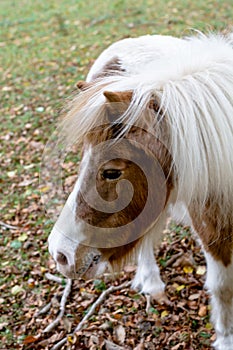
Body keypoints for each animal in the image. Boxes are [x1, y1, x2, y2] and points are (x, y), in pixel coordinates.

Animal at [47, 32, 233, 350]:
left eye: (111, 172)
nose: (60, 254)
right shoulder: (212, 230)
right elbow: (223, 288)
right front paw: (226, 339)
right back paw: (152, 284)